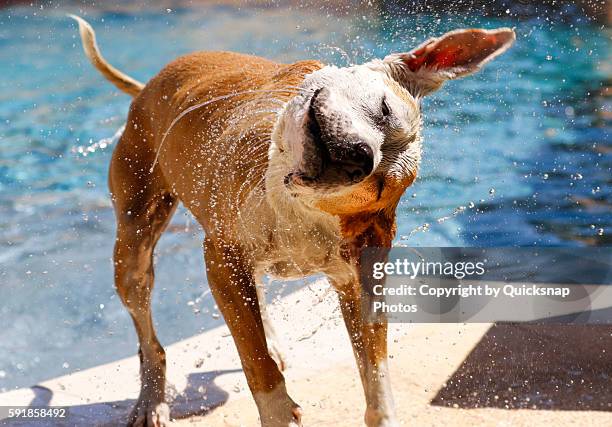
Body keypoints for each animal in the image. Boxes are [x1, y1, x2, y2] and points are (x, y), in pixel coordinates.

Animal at [70, 15, 512, 426]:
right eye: (385, 109)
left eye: (378, 184)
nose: (358, 156)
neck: (291, 206)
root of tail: (146, 88)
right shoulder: (222, 260)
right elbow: (256, 361)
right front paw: (279, 410)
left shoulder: (358, 284)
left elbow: (375, 376)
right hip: (133, 250)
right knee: (151, 341)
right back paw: (151, 401)